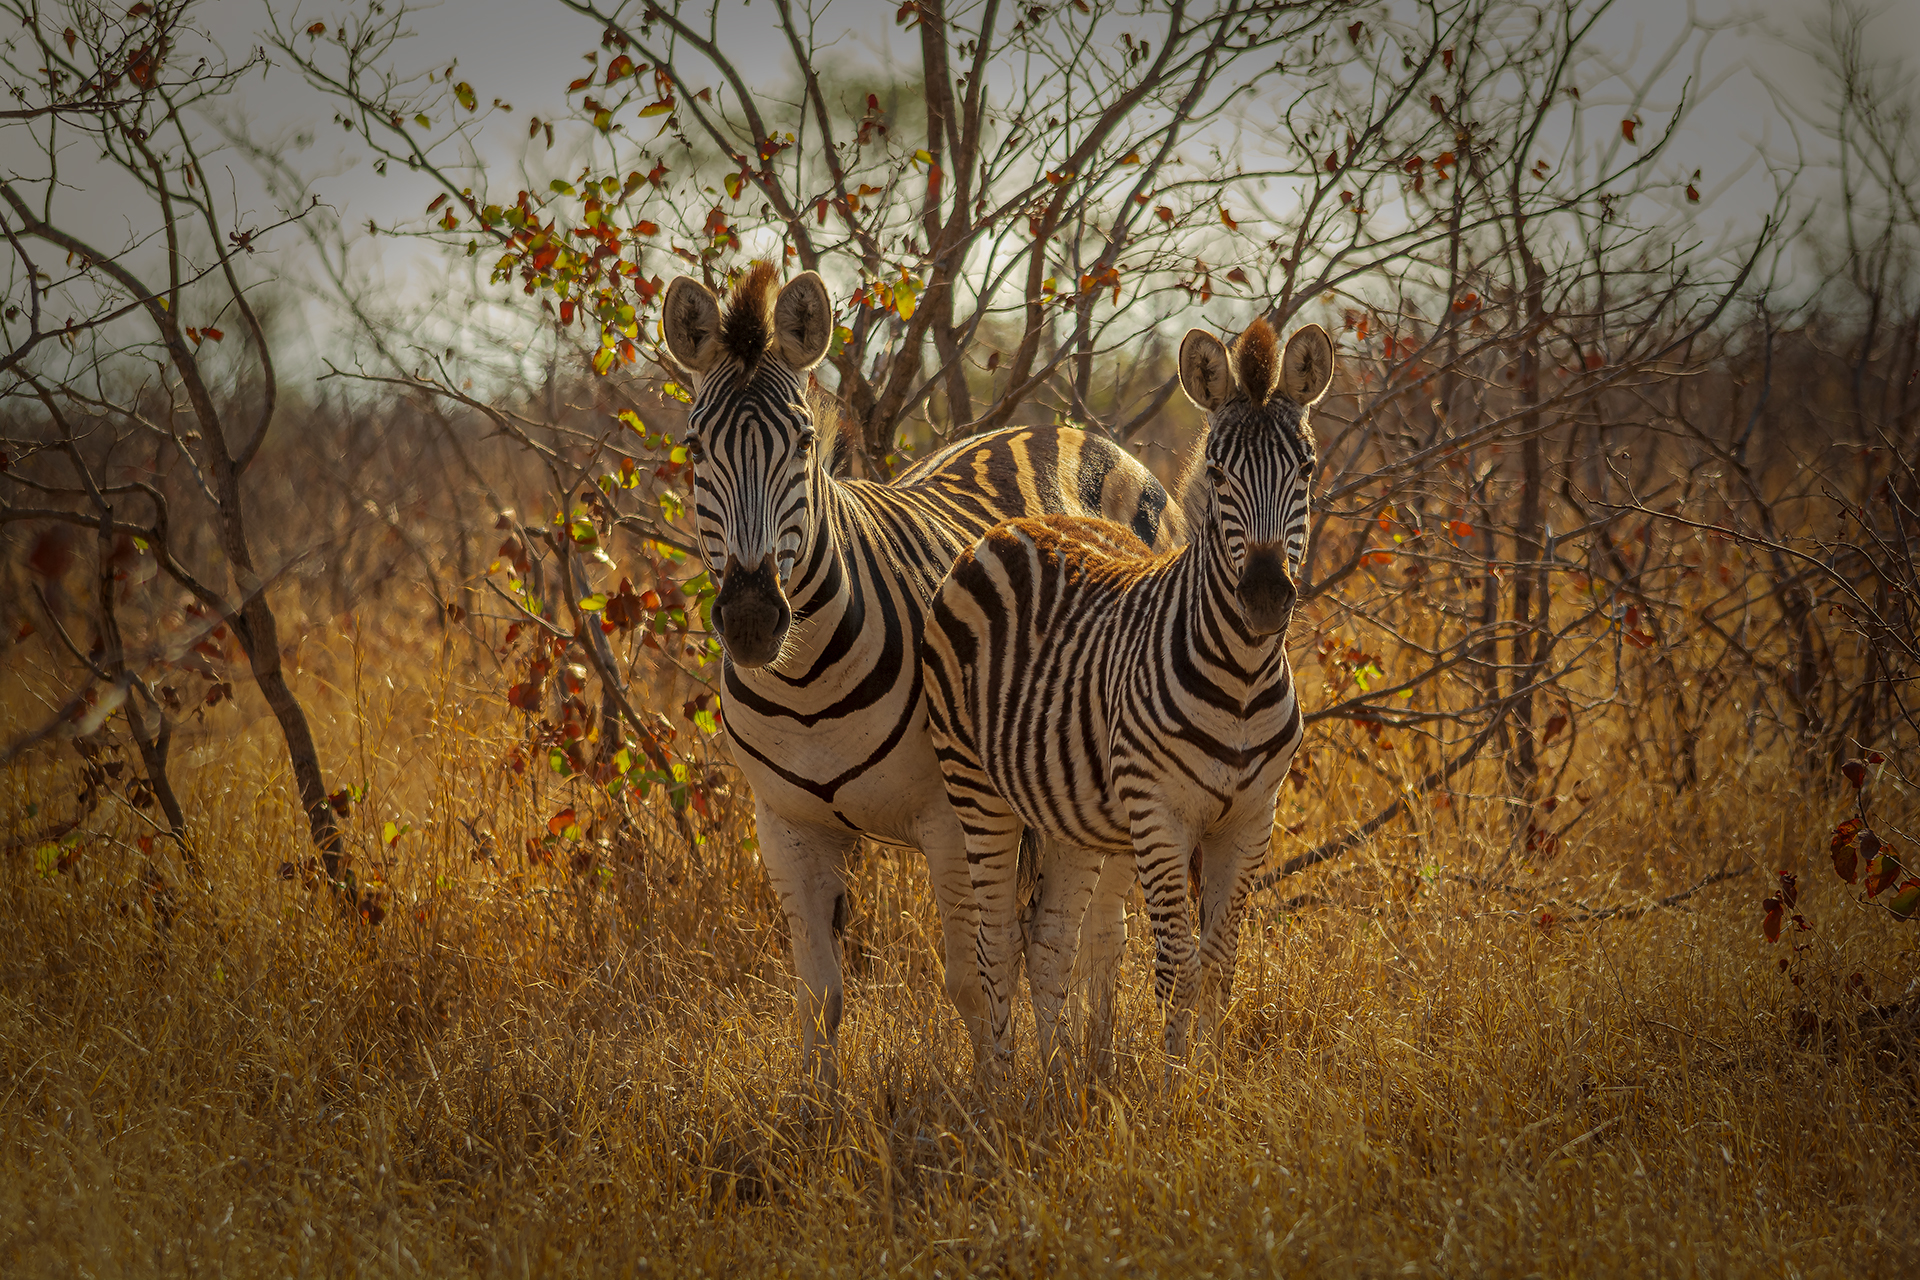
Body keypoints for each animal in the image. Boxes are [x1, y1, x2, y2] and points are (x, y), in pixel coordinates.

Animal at [659, 262, 1181, 1087]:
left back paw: (1087, 1067)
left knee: (1091, 932)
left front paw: (992, 1096)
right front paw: (817, 1110)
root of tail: (1068, 430)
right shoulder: (784, 826)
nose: (749, 620)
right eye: (693, 445)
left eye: (800, 443)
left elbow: (972, 977)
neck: (802, 683)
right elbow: (818, 994)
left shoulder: (947, 816)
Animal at [923, 316, 1331, 1073]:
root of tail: (1018, 523)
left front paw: (1209, 1079)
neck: (1242, 677)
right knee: (995, 944)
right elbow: (1177, 968)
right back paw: (1001, 1085)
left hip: (1068, 807)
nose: (1265, 597)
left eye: (1307, 468)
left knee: (1048, 941)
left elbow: (1221, 963)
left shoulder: (1251, 819)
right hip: (975, 787)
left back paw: (1053, 1081)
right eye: (1218, 473)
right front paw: (1175, 1085)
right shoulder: (1160, 814)